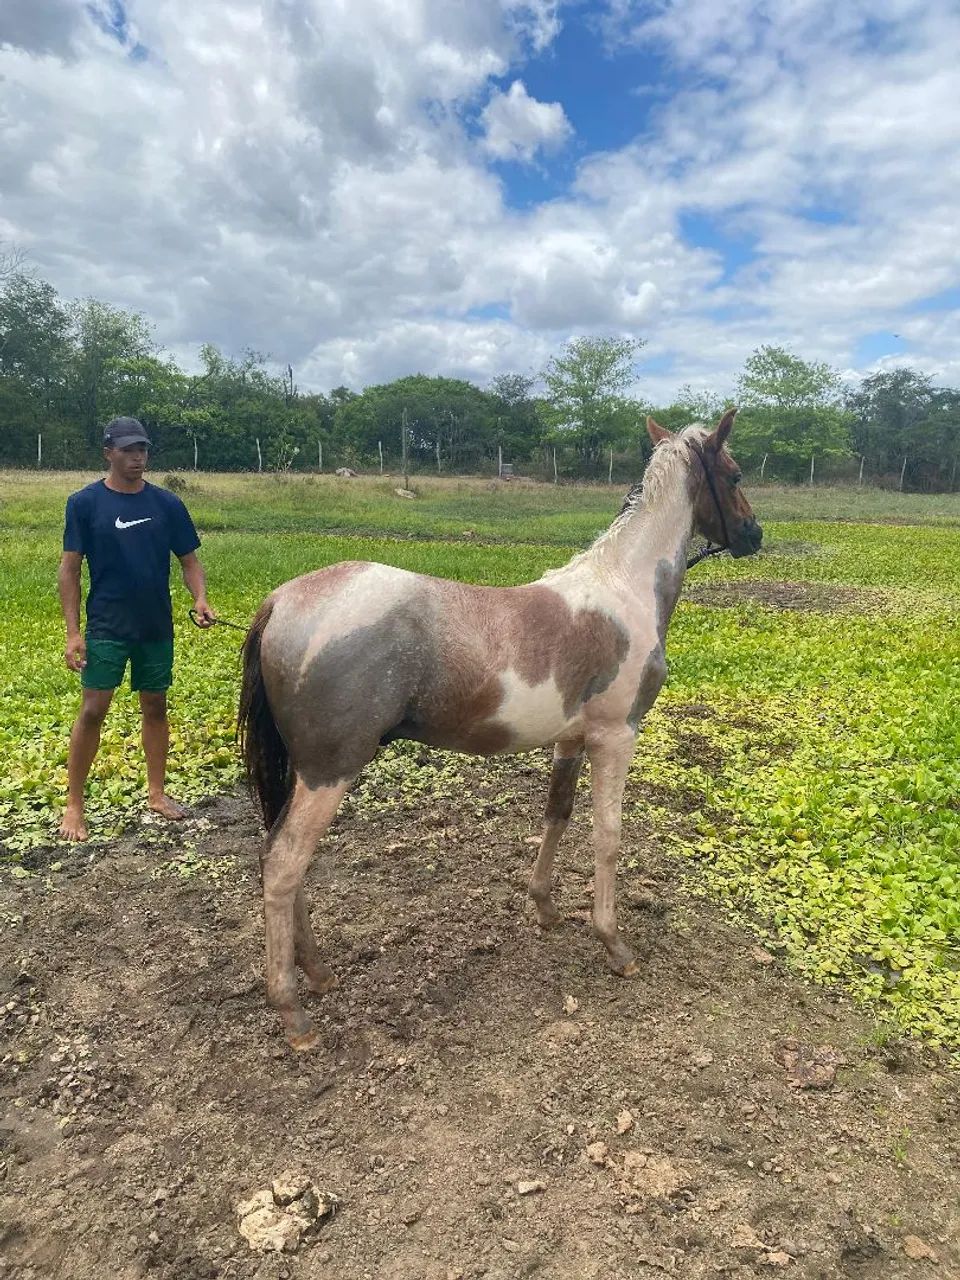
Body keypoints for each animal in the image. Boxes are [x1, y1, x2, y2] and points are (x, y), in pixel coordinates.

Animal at [238, 410, 762, 1049]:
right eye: (735, 473)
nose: (754, 534)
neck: (622, 588)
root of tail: (282, 601)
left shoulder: (572, 738)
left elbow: (557, 813)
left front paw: (546, 909)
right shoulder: (616, 735)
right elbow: (607, 837)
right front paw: (614, 944)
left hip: (302, 773)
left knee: (279, 856)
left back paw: (317, 973)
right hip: (328, 772)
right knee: (285, 865)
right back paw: (293, 1014)